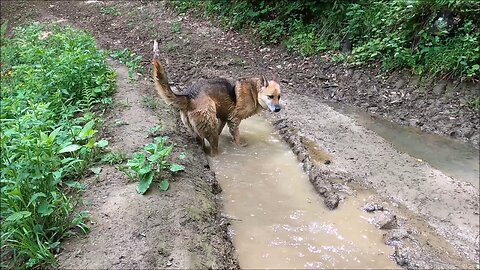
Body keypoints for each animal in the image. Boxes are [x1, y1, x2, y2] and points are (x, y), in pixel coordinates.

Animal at [152, 39, 282, 155]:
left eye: (279, 97)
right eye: (270, 96)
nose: (278, 109)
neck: (254, 92)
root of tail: (189, 96)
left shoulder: (224, 118)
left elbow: (222, 130)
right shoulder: (234, 120)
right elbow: (237, 138)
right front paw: (241, 147)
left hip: (199, 130)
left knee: (202, 143)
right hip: (211, 128)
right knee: (214, 151)